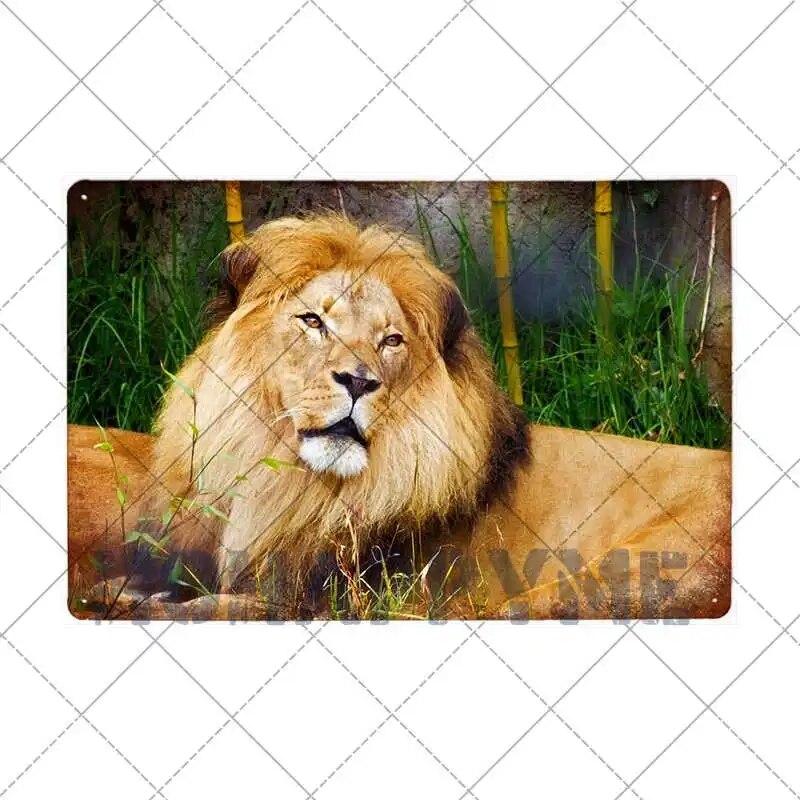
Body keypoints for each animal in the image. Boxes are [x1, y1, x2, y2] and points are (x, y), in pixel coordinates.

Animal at [67, 213, 731, 619]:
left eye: (391, 341)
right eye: (314, 321)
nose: (360, 381)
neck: (291, 484)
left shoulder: (319, 599)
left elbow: (221, 607)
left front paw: (115, 597)